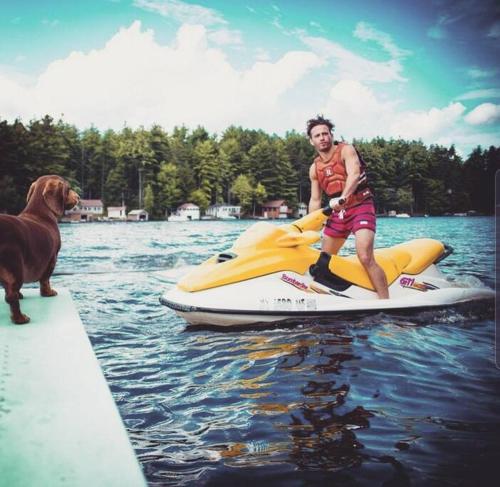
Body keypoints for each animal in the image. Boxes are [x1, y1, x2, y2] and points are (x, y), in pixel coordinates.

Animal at [0, 175, 79, 324]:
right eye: (69, 188)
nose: (78, 197)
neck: (40, 212)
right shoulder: (52, 259)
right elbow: (45, 279)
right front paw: (48, 293)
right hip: (16, 269)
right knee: (11, 296)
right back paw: (20, 318)